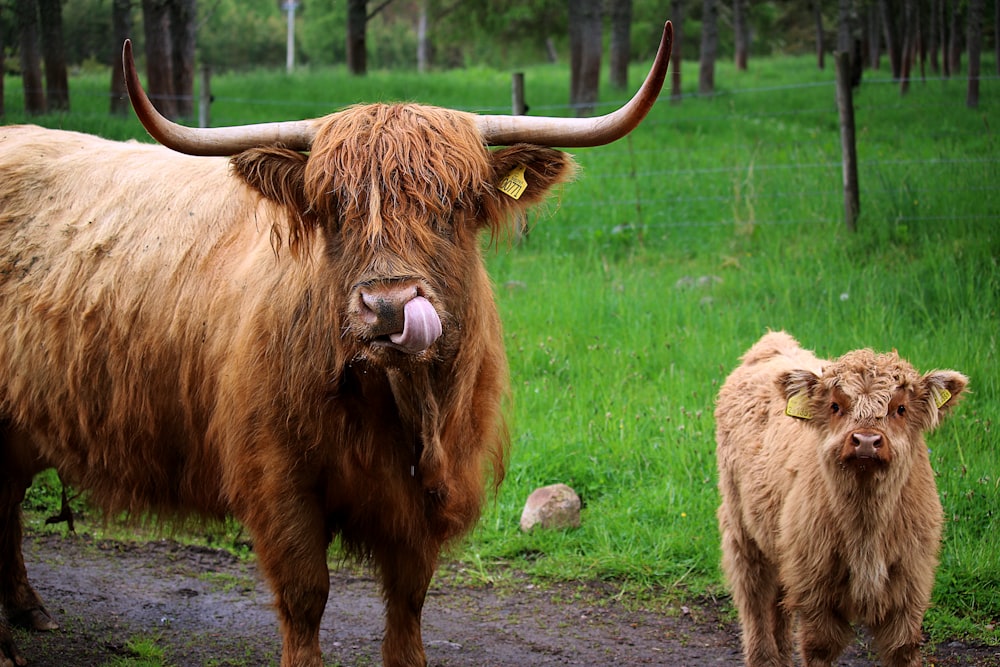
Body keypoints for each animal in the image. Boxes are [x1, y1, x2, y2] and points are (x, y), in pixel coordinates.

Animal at [716, 332, 964, 667]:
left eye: (900, 408)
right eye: (835, 405)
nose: (866, 441)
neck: (865, 524)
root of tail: (773, 342)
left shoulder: (910, 585)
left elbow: (903, 648)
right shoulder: (815, 588)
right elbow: (819, 647)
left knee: (778, 604)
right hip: (742, 531)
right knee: (754, 598)